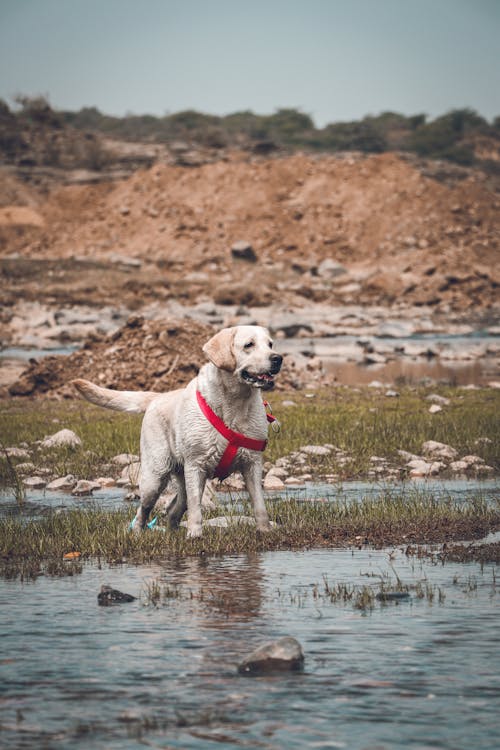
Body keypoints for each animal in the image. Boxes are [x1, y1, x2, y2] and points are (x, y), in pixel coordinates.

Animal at [71, 326, 282, 536]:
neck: (234, 404)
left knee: (173, 509)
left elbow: (259, 505)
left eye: (270, 344)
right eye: (249, 344)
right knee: (142, 511)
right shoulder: (195, 465)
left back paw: (173, 534)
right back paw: (138, 534)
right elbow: (196, 508)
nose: (278, 358)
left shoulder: (252, 463)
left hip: (180, 478)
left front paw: (265, 531)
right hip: (155, 477)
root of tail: (157, 397)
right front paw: (195, 535)